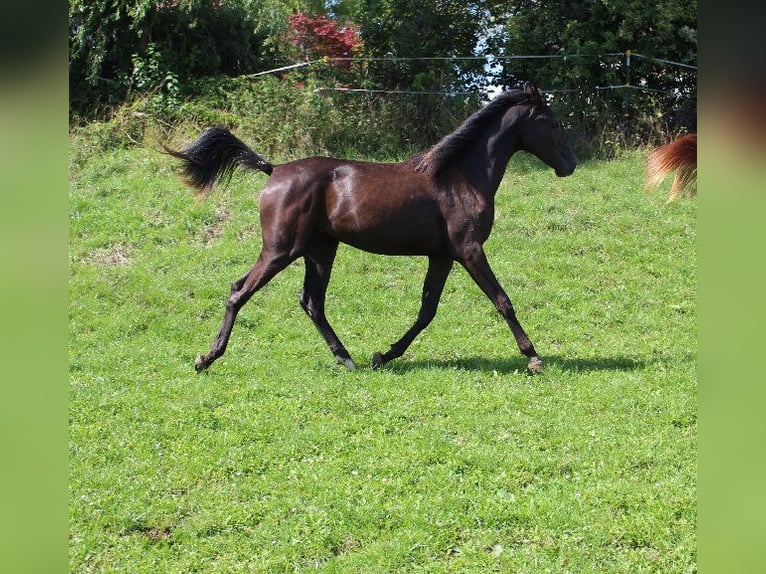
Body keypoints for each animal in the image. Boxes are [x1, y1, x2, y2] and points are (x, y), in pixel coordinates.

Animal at [168, 83, 576, 376]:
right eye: (555, 123)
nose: (570, 165)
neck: (460, 176)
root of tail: (274, 169)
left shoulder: (442, 256)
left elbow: (427, 310)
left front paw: (384, 355)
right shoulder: (469, 249)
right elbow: (501, 300)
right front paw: (533, 357)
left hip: (320, 250)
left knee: (311, 301)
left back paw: (348, 359)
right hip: (281, 249)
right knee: (240, 291)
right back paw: (206, 358)